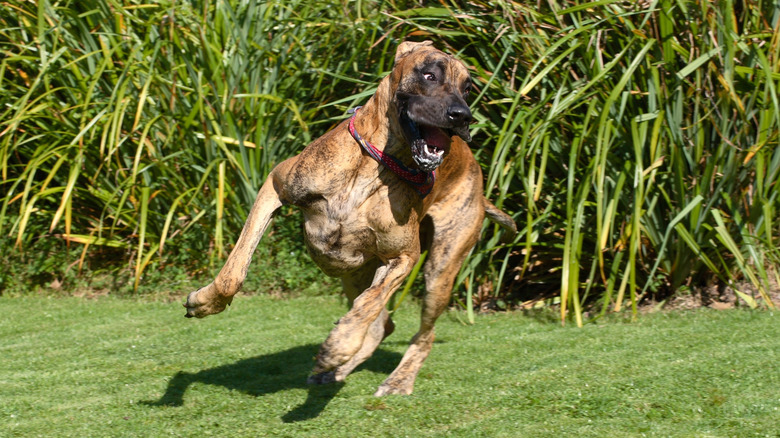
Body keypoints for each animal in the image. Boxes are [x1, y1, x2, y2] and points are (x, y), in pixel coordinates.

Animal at [183, 42, 516, 396]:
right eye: (429, 74)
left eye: (468, 88)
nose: (462, 116)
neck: (376, 163)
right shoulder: (274, 187)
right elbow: (233, 271)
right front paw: (204, 303)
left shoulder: (403, 257)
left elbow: (369, 304)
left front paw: (340, 343)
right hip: (355, 273)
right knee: (383, 324)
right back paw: (339, 371)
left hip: (440, 268)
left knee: (420, 332)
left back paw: (395, 378)